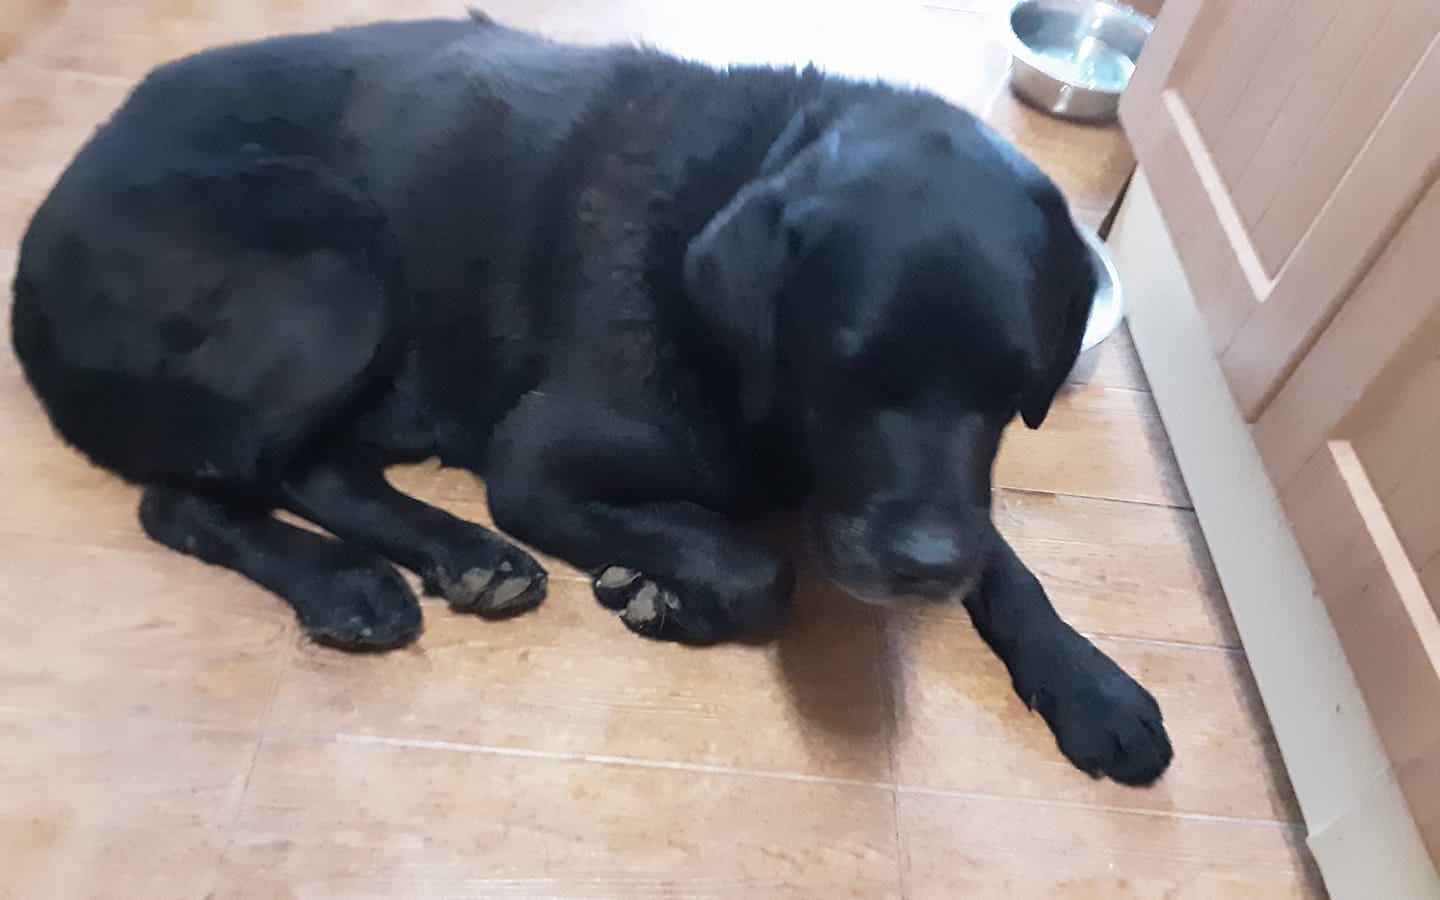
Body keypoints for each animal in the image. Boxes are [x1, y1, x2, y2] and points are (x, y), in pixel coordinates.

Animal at [10, 12, 1171, 784]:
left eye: (1015, 387)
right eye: (847, 372)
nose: (922, 571)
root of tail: (33, 249)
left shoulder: (944, 494)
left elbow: (1006, 561)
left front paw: (1091, 682)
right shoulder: (541, 465)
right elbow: (762, 568)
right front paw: (673, 593)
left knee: (314, 467)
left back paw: (460, 558)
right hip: (341, 266)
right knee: (192, 492)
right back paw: (346, 583)